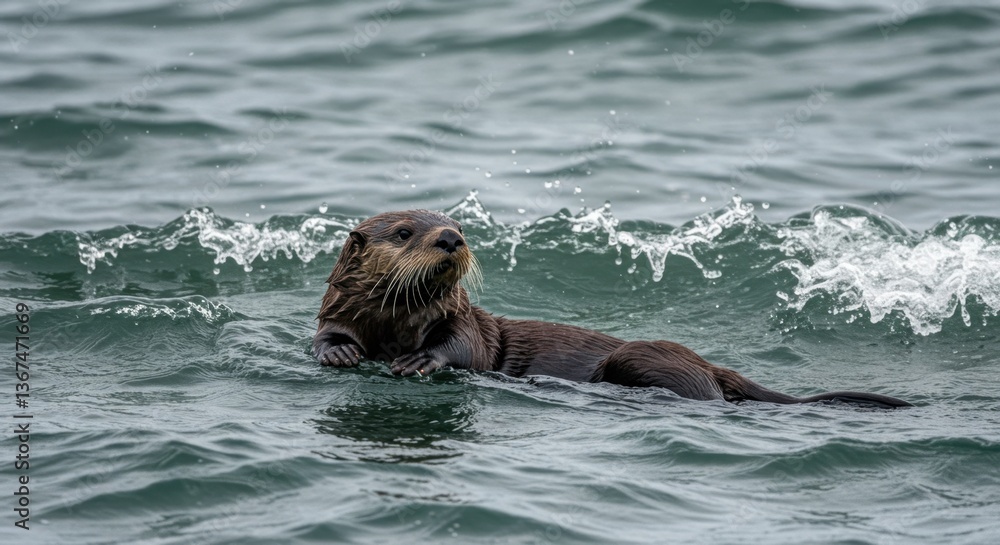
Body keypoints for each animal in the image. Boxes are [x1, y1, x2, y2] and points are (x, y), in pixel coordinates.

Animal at [313, 210, 911, 408]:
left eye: (456, 223)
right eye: (405, 231)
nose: (450, 239)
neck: (397, 328)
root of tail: (709, 363)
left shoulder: (463, 325)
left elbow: (459, 349)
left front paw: (420, 361)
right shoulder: (340, 311)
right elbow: (326, 332)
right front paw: (338, 353)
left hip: (641, 355)